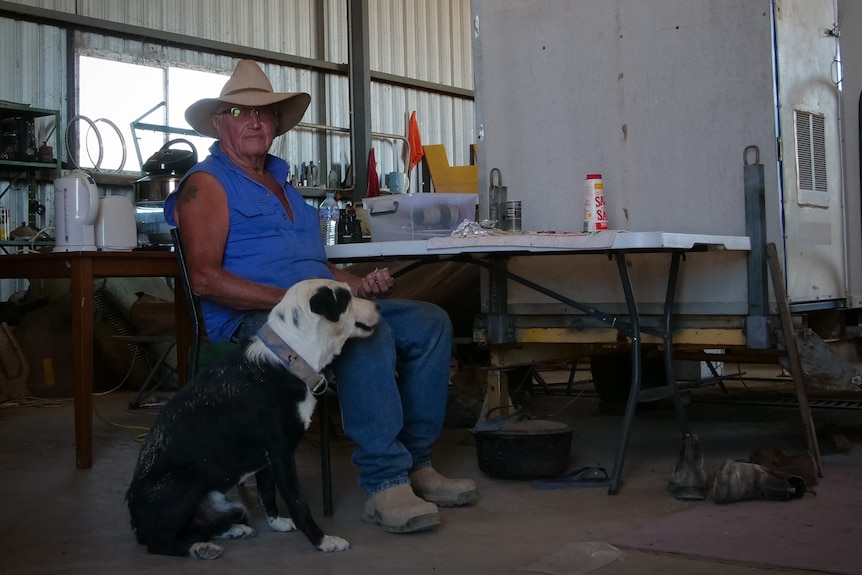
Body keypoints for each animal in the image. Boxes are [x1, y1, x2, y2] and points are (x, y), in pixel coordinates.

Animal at [124, 280, 378, 560]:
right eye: (346, 299)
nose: (378, 305)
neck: (290, 357)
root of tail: (135, 520)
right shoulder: (280, 454)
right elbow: (298, 502)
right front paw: (321, 540)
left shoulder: (266, 458)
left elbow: (267, 493)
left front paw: (276, 523)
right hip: (186, 482)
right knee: (161, 542)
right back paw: (199, 548)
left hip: (229, 504)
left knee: (202, 527)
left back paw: (234, 530)